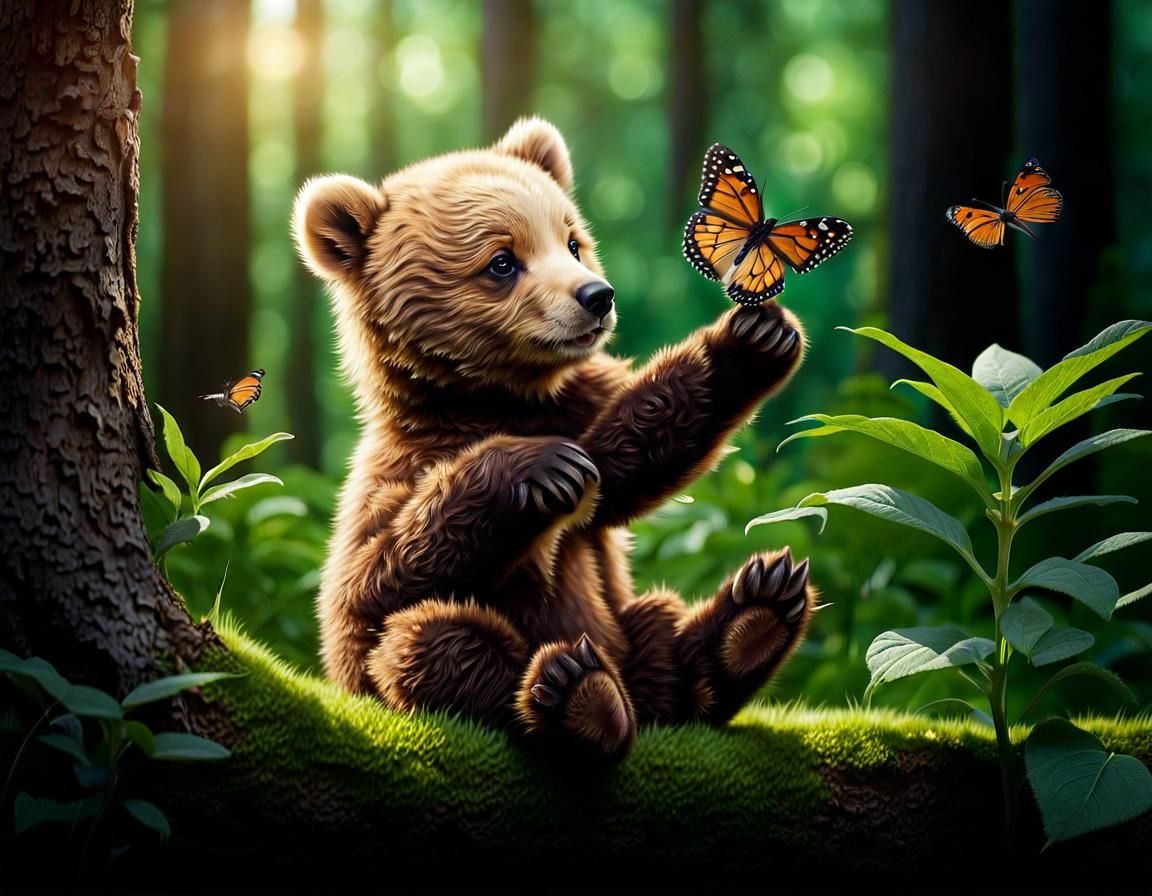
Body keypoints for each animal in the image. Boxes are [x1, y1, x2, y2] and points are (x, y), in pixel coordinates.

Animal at [293, 117, 813, 759]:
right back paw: (581, 698)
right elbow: (373, 580)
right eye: (501, 261)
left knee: (658, 623)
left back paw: (754, 614)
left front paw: (754, 338)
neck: (499, 395)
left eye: (571, 241)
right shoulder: (402, 464)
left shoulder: (578, 401)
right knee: (427, 640)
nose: (597, 296)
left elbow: (626, 459)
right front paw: (543, 469)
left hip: (626, 626)